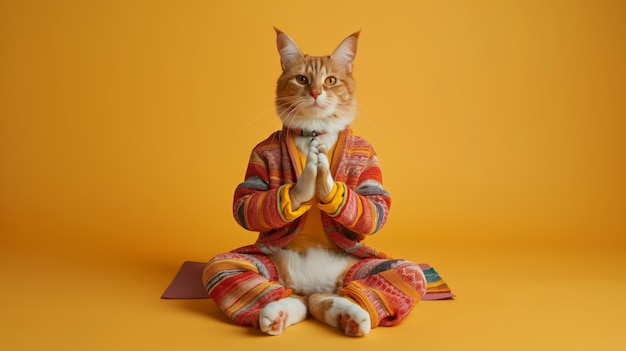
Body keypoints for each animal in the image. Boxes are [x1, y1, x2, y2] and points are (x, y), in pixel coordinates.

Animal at [202, 29, 426, 338]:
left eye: (330, 80)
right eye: (302, 79)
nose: (317, 92)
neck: (314, 130)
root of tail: (309, 285)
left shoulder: (370, 164)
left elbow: (375, 209)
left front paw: (325, 180)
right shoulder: (258, 157)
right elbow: (247, 204)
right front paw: (307, 180)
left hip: (370, 269)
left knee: (380, 283)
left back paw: (352, 316)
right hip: (249, 267)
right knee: (276, 291)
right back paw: (278, 313)